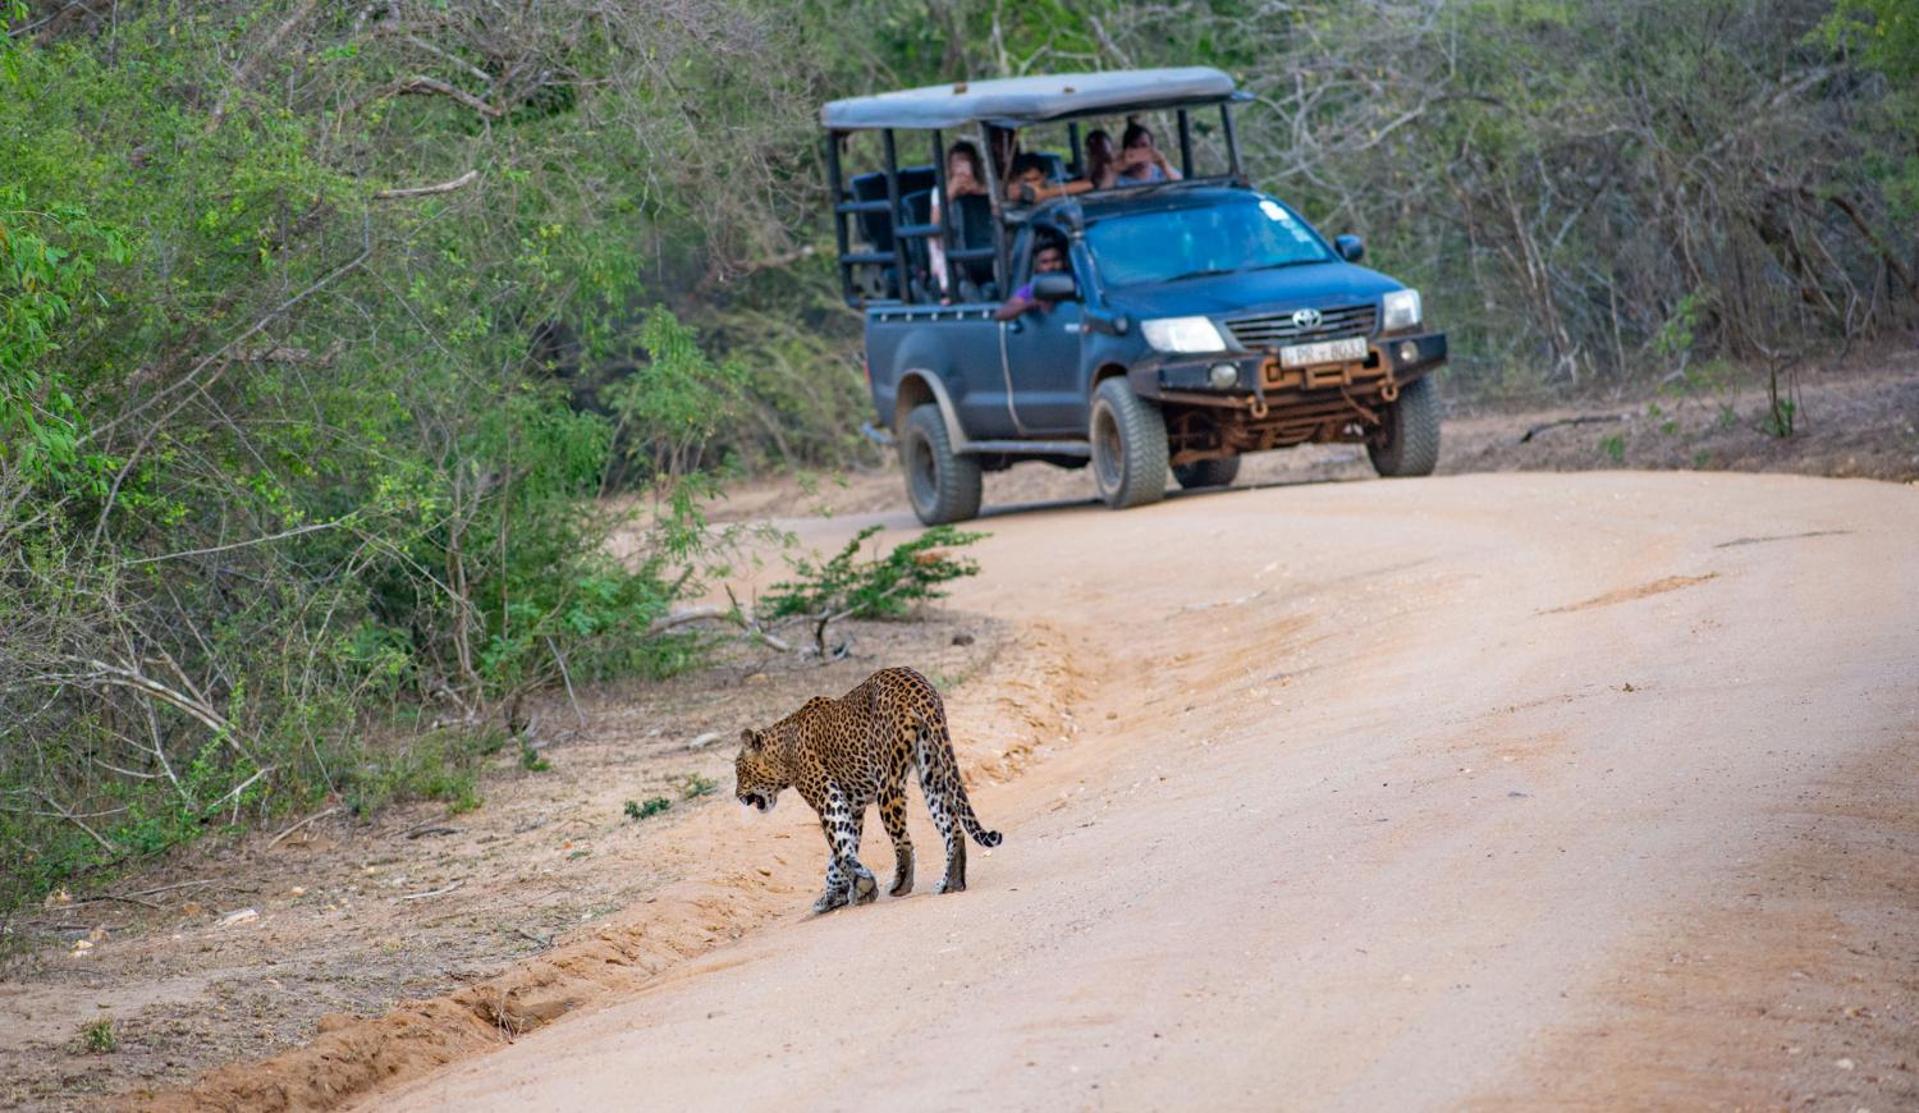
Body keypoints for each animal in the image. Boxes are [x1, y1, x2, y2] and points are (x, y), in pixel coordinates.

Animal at [735, 666, 1002, 913]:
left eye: (738, 770)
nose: (737, 796)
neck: (783, 750)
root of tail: (920, 687)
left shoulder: (826, 796)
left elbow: (839, 847)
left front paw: (859, 887)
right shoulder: (852, 807)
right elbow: (842, 848)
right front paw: (835, 895)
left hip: (888, 780)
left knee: (903, 839)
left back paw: (901, 884)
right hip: (931, 770)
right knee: (951, 826)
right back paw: (952, 883)